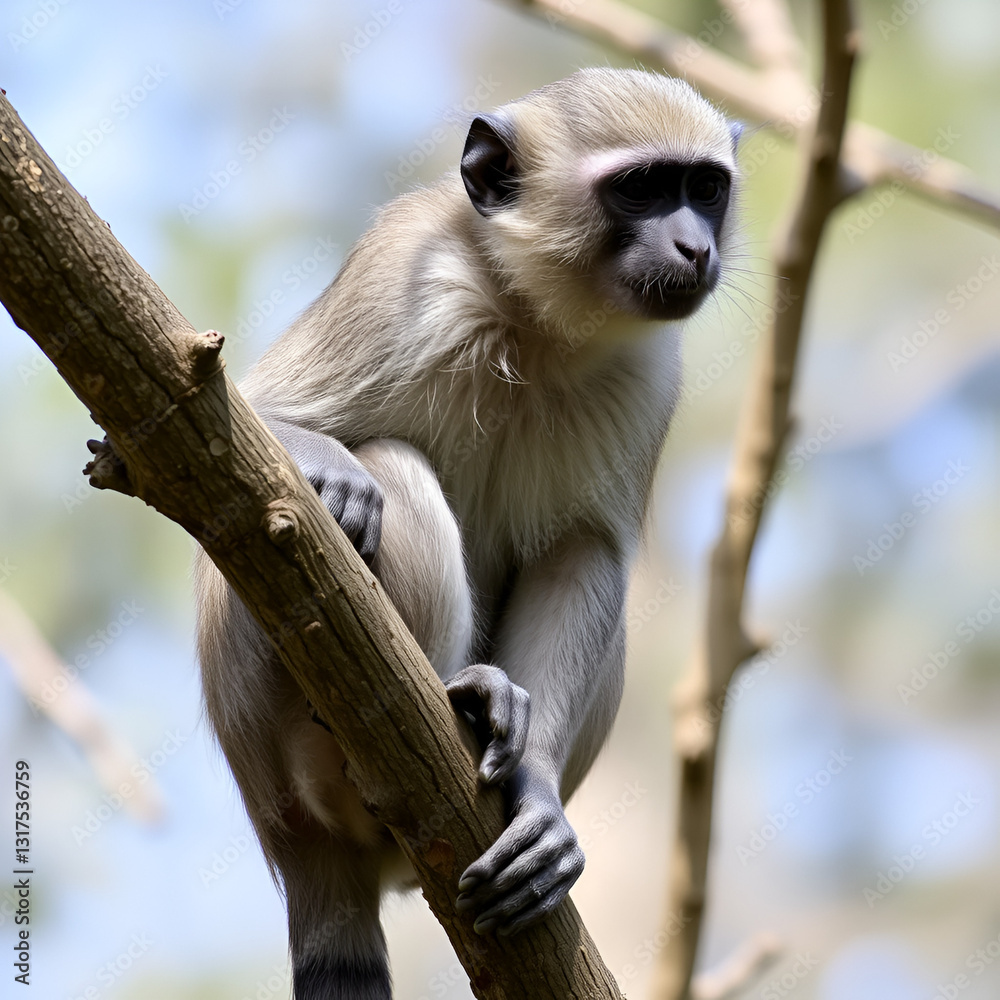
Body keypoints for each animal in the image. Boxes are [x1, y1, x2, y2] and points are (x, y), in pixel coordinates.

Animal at [194, 67, 740, 1000]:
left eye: (705, 190)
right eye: (640, 188)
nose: (694, 248)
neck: (532, 322)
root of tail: (291, 841)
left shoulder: (648, 372)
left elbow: (581, 552)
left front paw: (539, 794)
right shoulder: (406, 270)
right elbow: (235, 416)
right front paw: (323, 463)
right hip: (273, 716)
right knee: (392, 468)